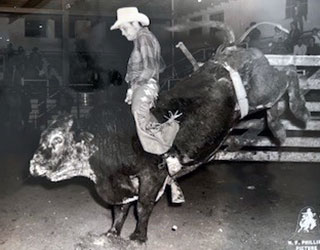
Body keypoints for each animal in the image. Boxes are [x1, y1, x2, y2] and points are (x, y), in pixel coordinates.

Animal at [28, 47, 308, 242]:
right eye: (40, 137)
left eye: (57, 139)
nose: (33, 166)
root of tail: (236, 49)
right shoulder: (120, 182)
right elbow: (120, 209)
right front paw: (112, 233)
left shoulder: (153, 174)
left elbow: (142, 206)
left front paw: (138, 237)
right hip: (248, 108)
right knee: (263, 115)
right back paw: (256, 134)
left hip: (264, 88)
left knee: (288, 74)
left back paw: (299, 112)